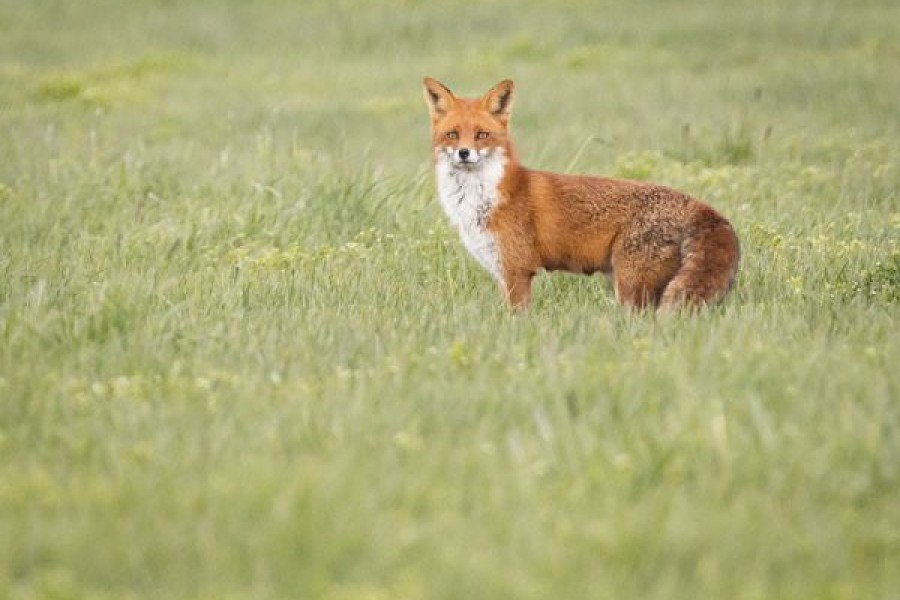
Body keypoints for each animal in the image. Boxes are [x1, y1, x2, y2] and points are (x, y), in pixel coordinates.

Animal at [422, 77, 740, 312]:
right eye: (452, 134)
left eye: (481, 135)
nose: (464, 153)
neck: (484, 199)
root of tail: (697, 204)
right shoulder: (502, 272)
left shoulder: (517, 270)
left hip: (631, 286)